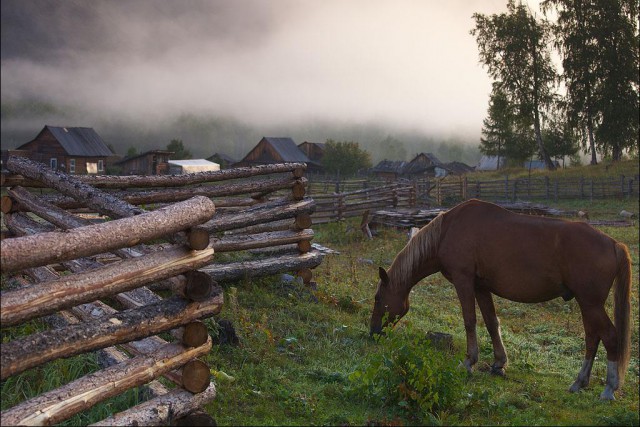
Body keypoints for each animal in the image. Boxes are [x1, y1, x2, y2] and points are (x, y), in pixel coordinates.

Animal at [368, 201, 632, 402]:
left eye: (378, 298)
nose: (373, 333)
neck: (447, 231)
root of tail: (614, 244)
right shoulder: (481, 287)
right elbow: (491, 322)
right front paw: (498, 363)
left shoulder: (464, 281)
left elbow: (470, 321)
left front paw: (469, 362)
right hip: (587, 304)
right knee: (593, 338)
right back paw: (579, 382)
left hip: (590, 304)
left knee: (609, 336)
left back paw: (609, 389)